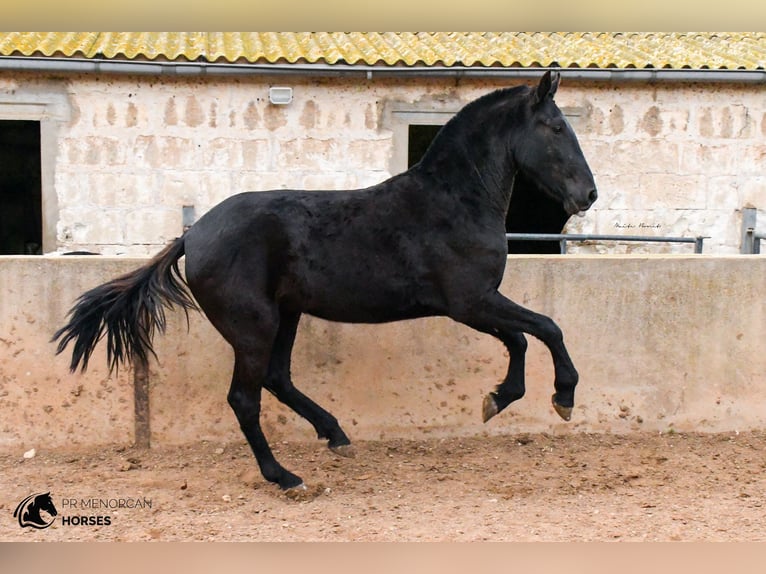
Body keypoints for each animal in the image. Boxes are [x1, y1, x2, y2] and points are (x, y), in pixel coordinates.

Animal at [57, 73, 604, 490]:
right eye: (556, 127)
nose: (589, 195)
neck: (454, 200)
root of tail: (193, 234)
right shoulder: (470, 301)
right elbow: (545, 328)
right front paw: (562, 398)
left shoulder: (475, 304)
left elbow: (522, 338)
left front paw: (498, 399)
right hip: (253, 326)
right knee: (245, 398)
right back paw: (285, 477)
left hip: (286, 315)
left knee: (277, 379)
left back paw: (336, 436)